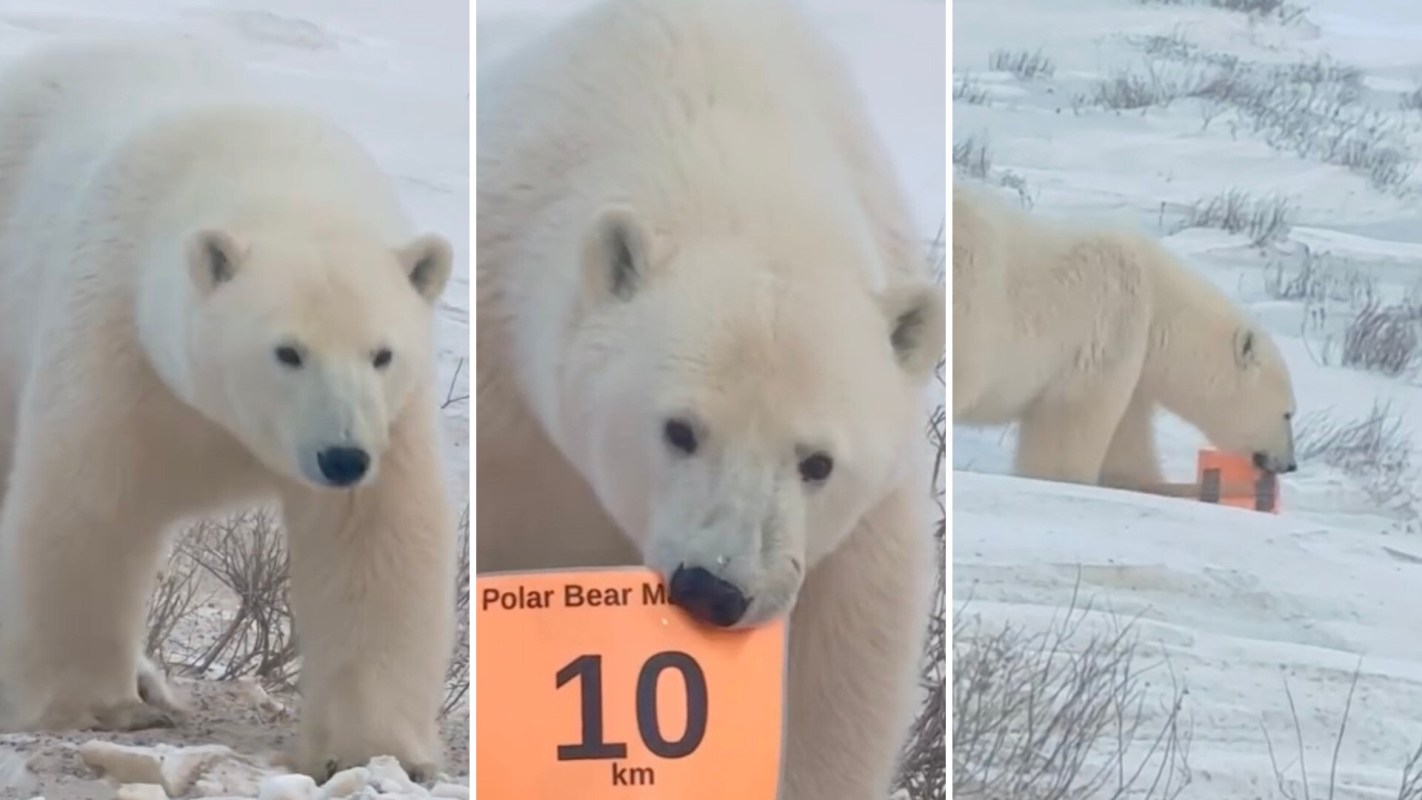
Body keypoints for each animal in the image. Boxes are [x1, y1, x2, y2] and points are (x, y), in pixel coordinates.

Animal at [0, 37, 459, 781]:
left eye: (381, 353)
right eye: (288, 351)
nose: (341, 456)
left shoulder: (391, 417)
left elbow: (373, 538)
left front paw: (375, 749)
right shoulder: (117, 333)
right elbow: (88, 504)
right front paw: (96, 706)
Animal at [475, 0, 946, 797]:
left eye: (817, 462)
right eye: (680, 429)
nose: (715, 590)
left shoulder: (864, 516)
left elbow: (839, 663)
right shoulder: (511, 426)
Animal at [952, 180, 1298, 490]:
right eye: (1287, 414)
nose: (1290, 464)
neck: (1158, 302)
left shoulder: (1135, 366)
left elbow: (1129, 447)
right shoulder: (1111, 329)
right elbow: (1070, 422)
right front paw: (1065, 478)